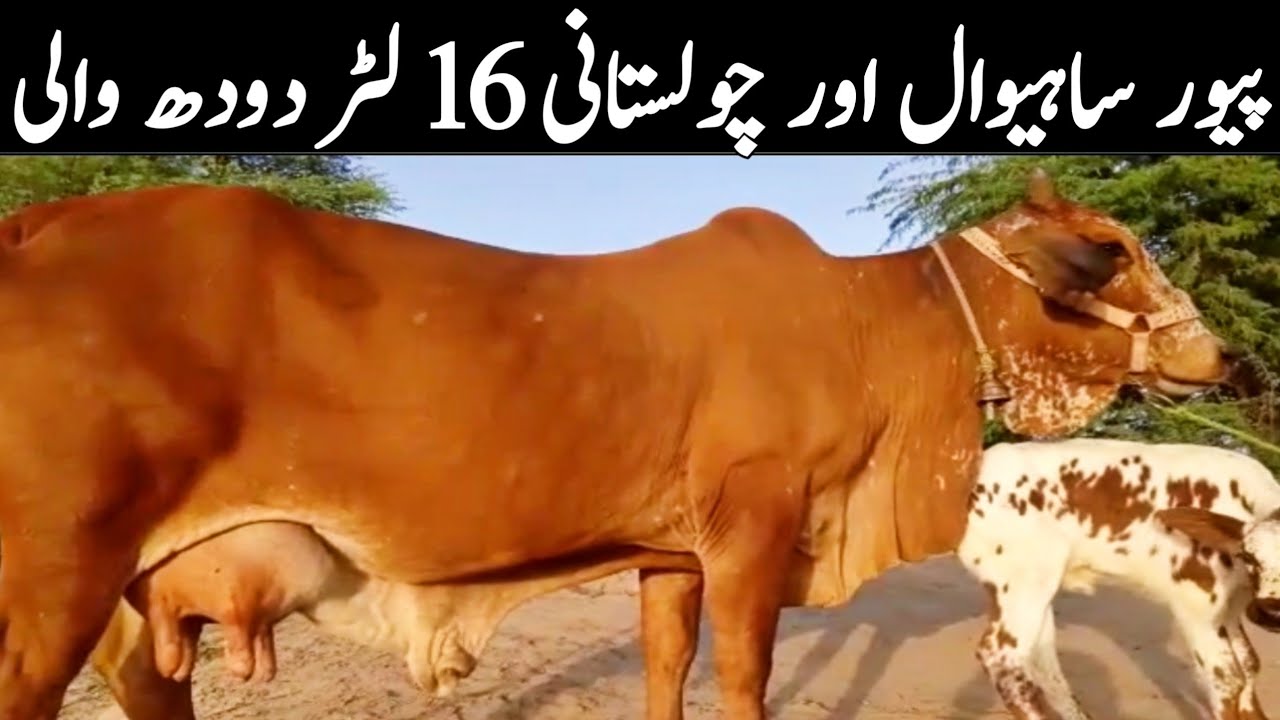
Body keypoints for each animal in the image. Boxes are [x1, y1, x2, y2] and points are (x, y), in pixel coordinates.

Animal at [0, 167, 1233, 720]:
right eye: (1119, 247)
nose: (1221, 358)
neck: (871, 328)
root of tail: (39, 224)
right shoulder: (752, 531)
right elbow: (741, 676)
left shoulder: (668, 555)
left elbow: (663, 669)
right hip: (51, 586)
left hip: (133, 600)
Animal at [958, 438, 1279, 720]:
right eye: (1250, 556)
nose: (1271, 611)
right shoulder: (1197, 605)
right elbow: (1227, 680)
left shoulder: (1232, 606)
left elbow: (1250, 663)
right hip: (1023, 582)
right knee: (1002, 657)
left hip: (1031, 589)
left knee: (1043, 660)